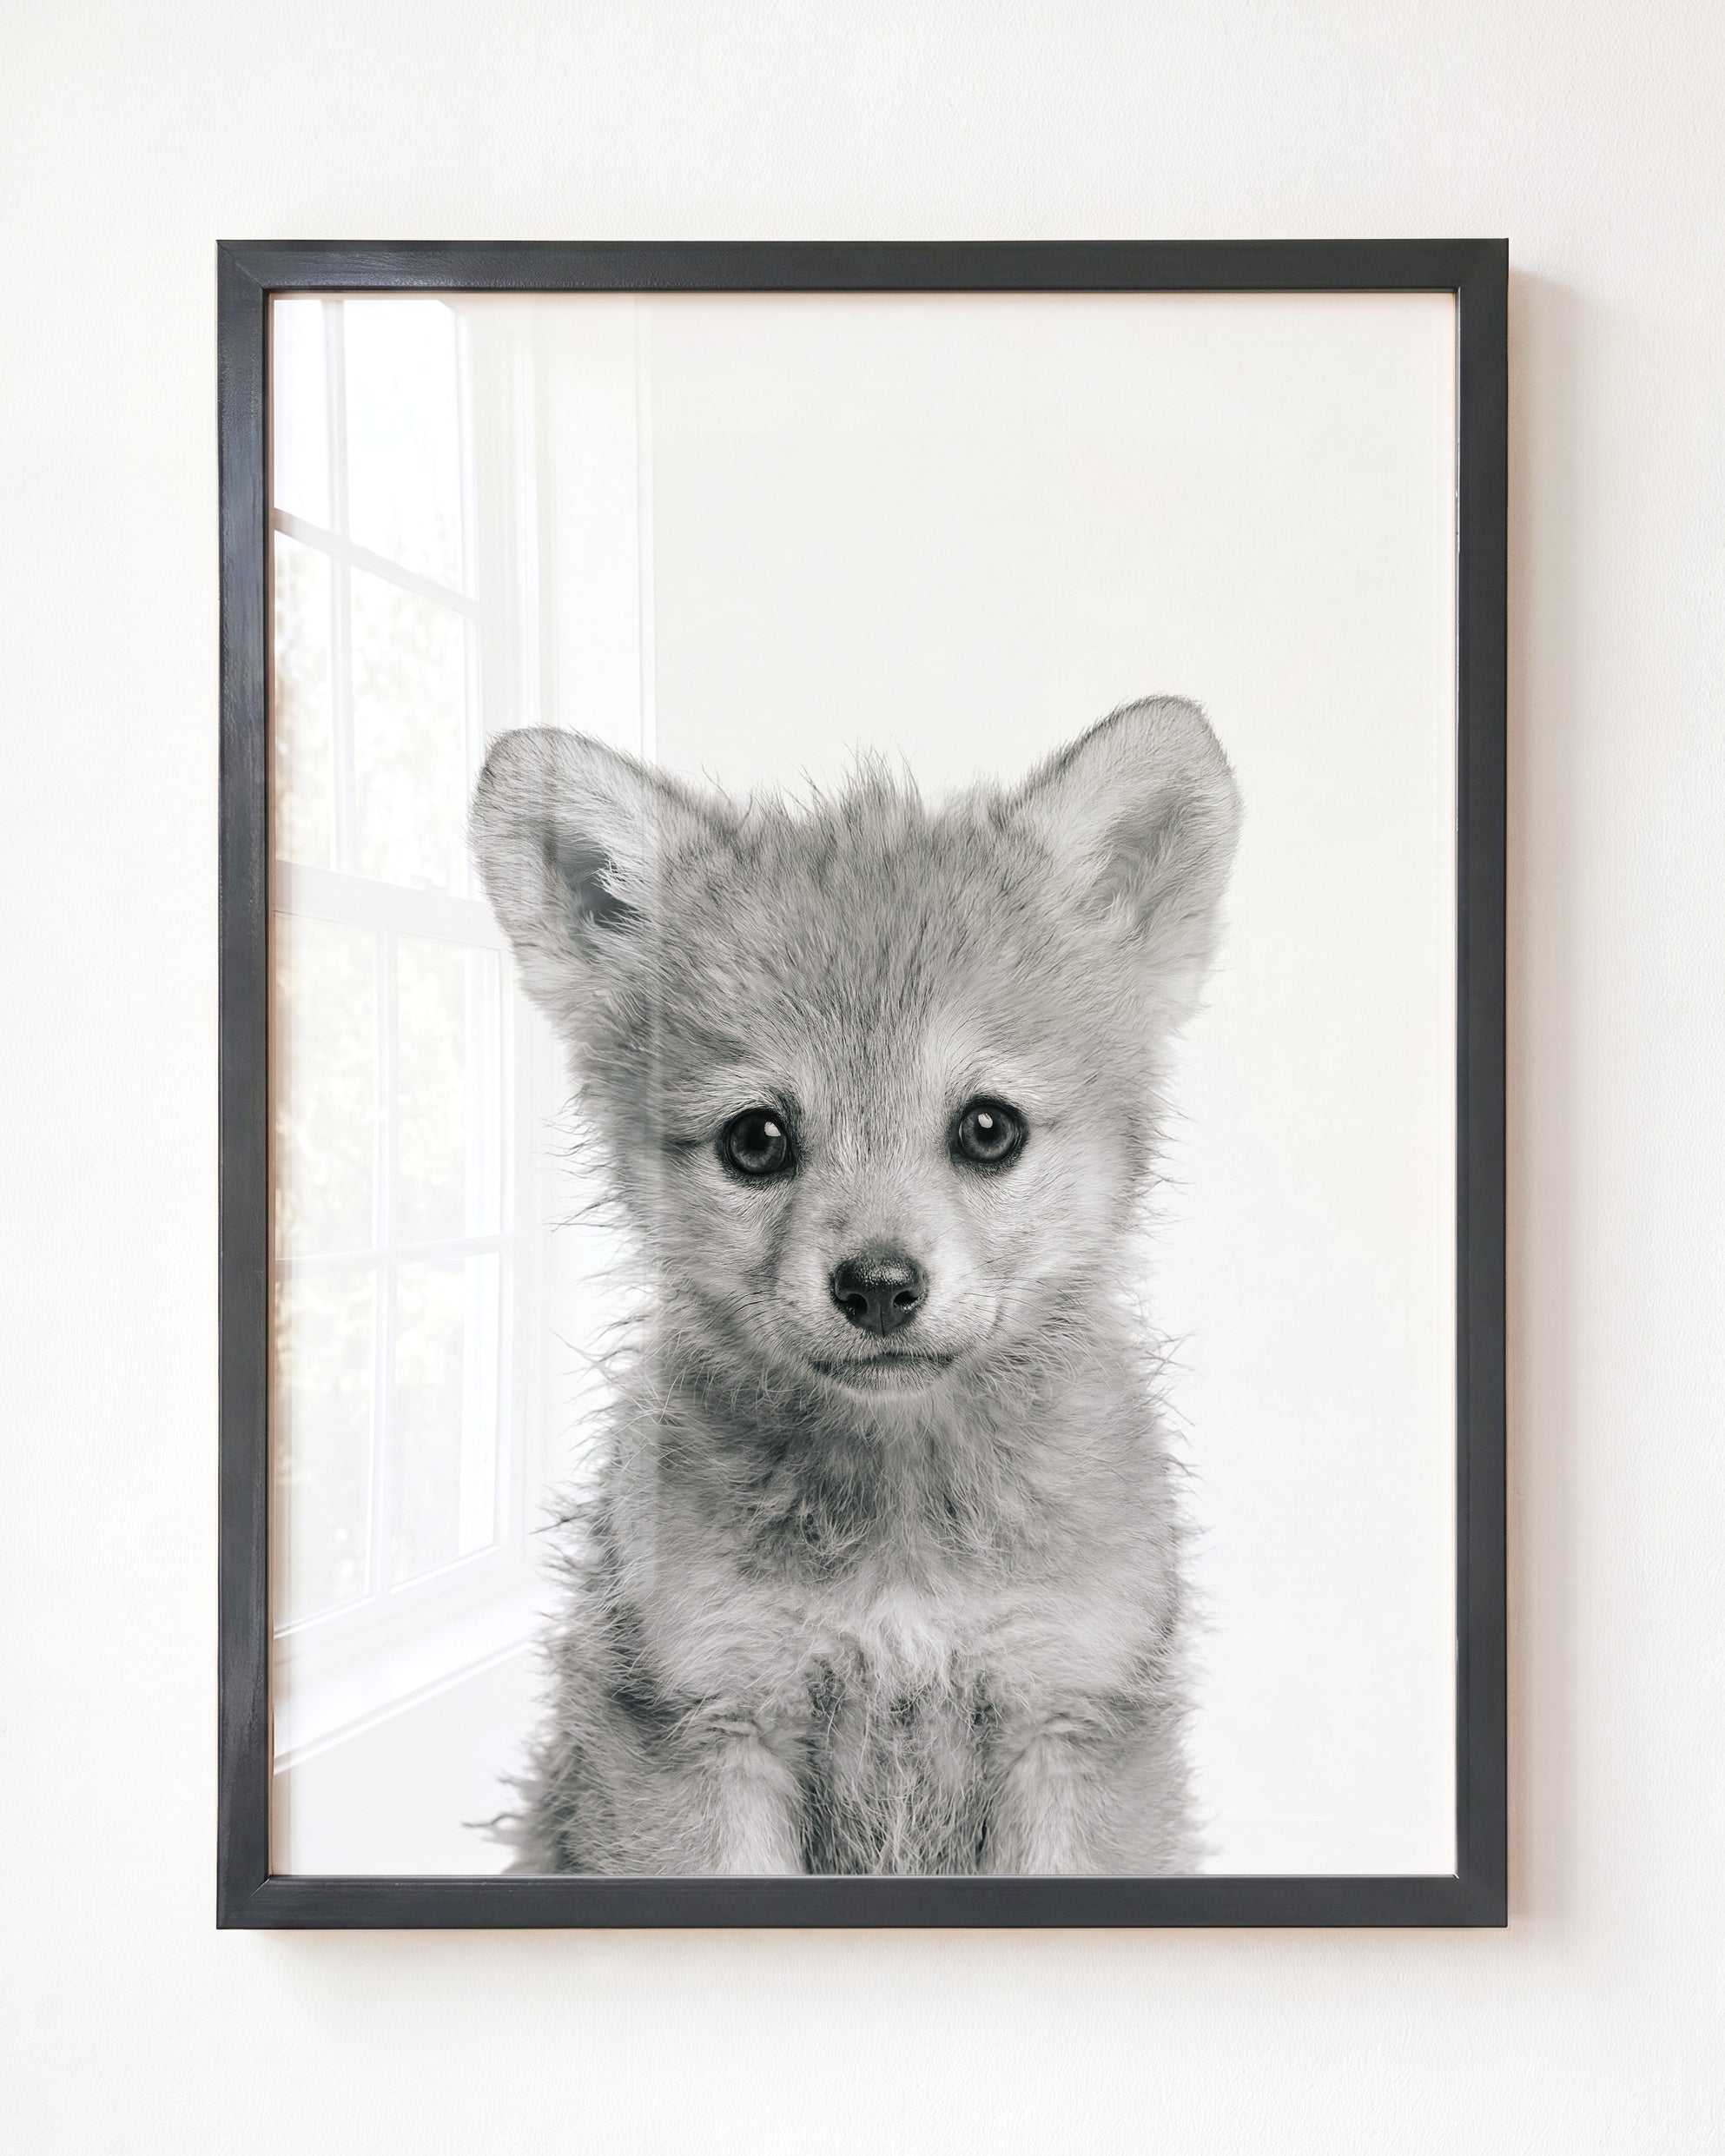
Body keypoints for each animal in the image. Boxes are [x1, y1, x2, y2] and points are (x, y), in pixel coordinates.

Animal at [469, 697, 1241, 1874]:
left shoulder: (1069, 1716)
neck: (902, 1534)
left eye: (988, 1128)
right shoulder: (708, 1723)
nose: (878, 1286)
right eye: (756, 1140)